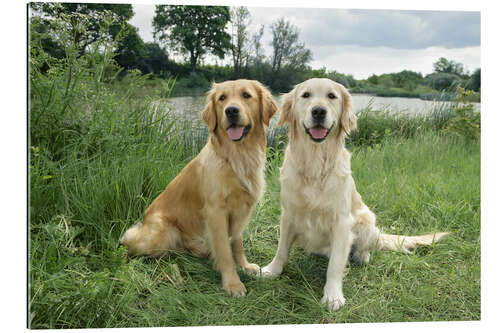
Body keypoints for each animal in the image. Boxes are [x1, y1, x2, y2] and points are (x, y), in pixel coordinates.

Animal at [120, 78, 278, 296]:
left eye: (246, 95)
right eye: (222, 98)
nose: (231, 111)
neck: (238, 157)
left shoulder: (243, 209)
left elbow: (237, 243)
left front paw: (245, 266)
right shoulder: (216, 211)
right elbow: (224, 250)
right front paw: (232, 283)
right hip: (162, 232)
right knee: (131, 243)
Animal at [262, 77, 450, 308]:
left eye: (332, 96)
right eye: (305, 95)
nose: (318, 111)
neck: (315, 164)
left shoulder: (342, 222)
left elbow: (335, 264)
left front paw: (333, 295)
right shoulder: (288, 214)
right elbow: (281, 249)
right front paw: (271, 270)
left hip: (367, 218)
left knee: (363, 247)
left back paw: (362, 256)